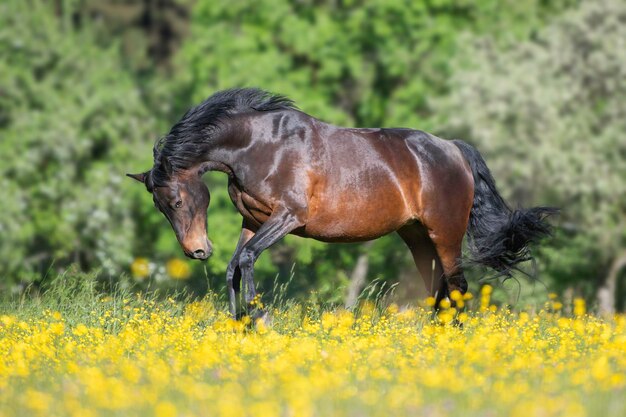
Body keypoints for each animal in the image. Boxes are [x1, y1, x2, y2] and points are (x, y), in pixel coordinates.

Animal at [125, 87, 552, 316]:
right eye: (161, 207)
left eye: (175, 201)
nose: (196, 250)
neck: (260, 145)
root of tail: (453, 149)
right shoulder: (254, 221)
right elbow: (234, 266)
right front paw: (239, 321)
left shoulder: (287, 217)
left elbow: (245, 260)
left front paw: (258, 315)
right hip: (417, 237)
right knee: (439, 289)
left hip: (445, 234)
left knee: (458, 288)